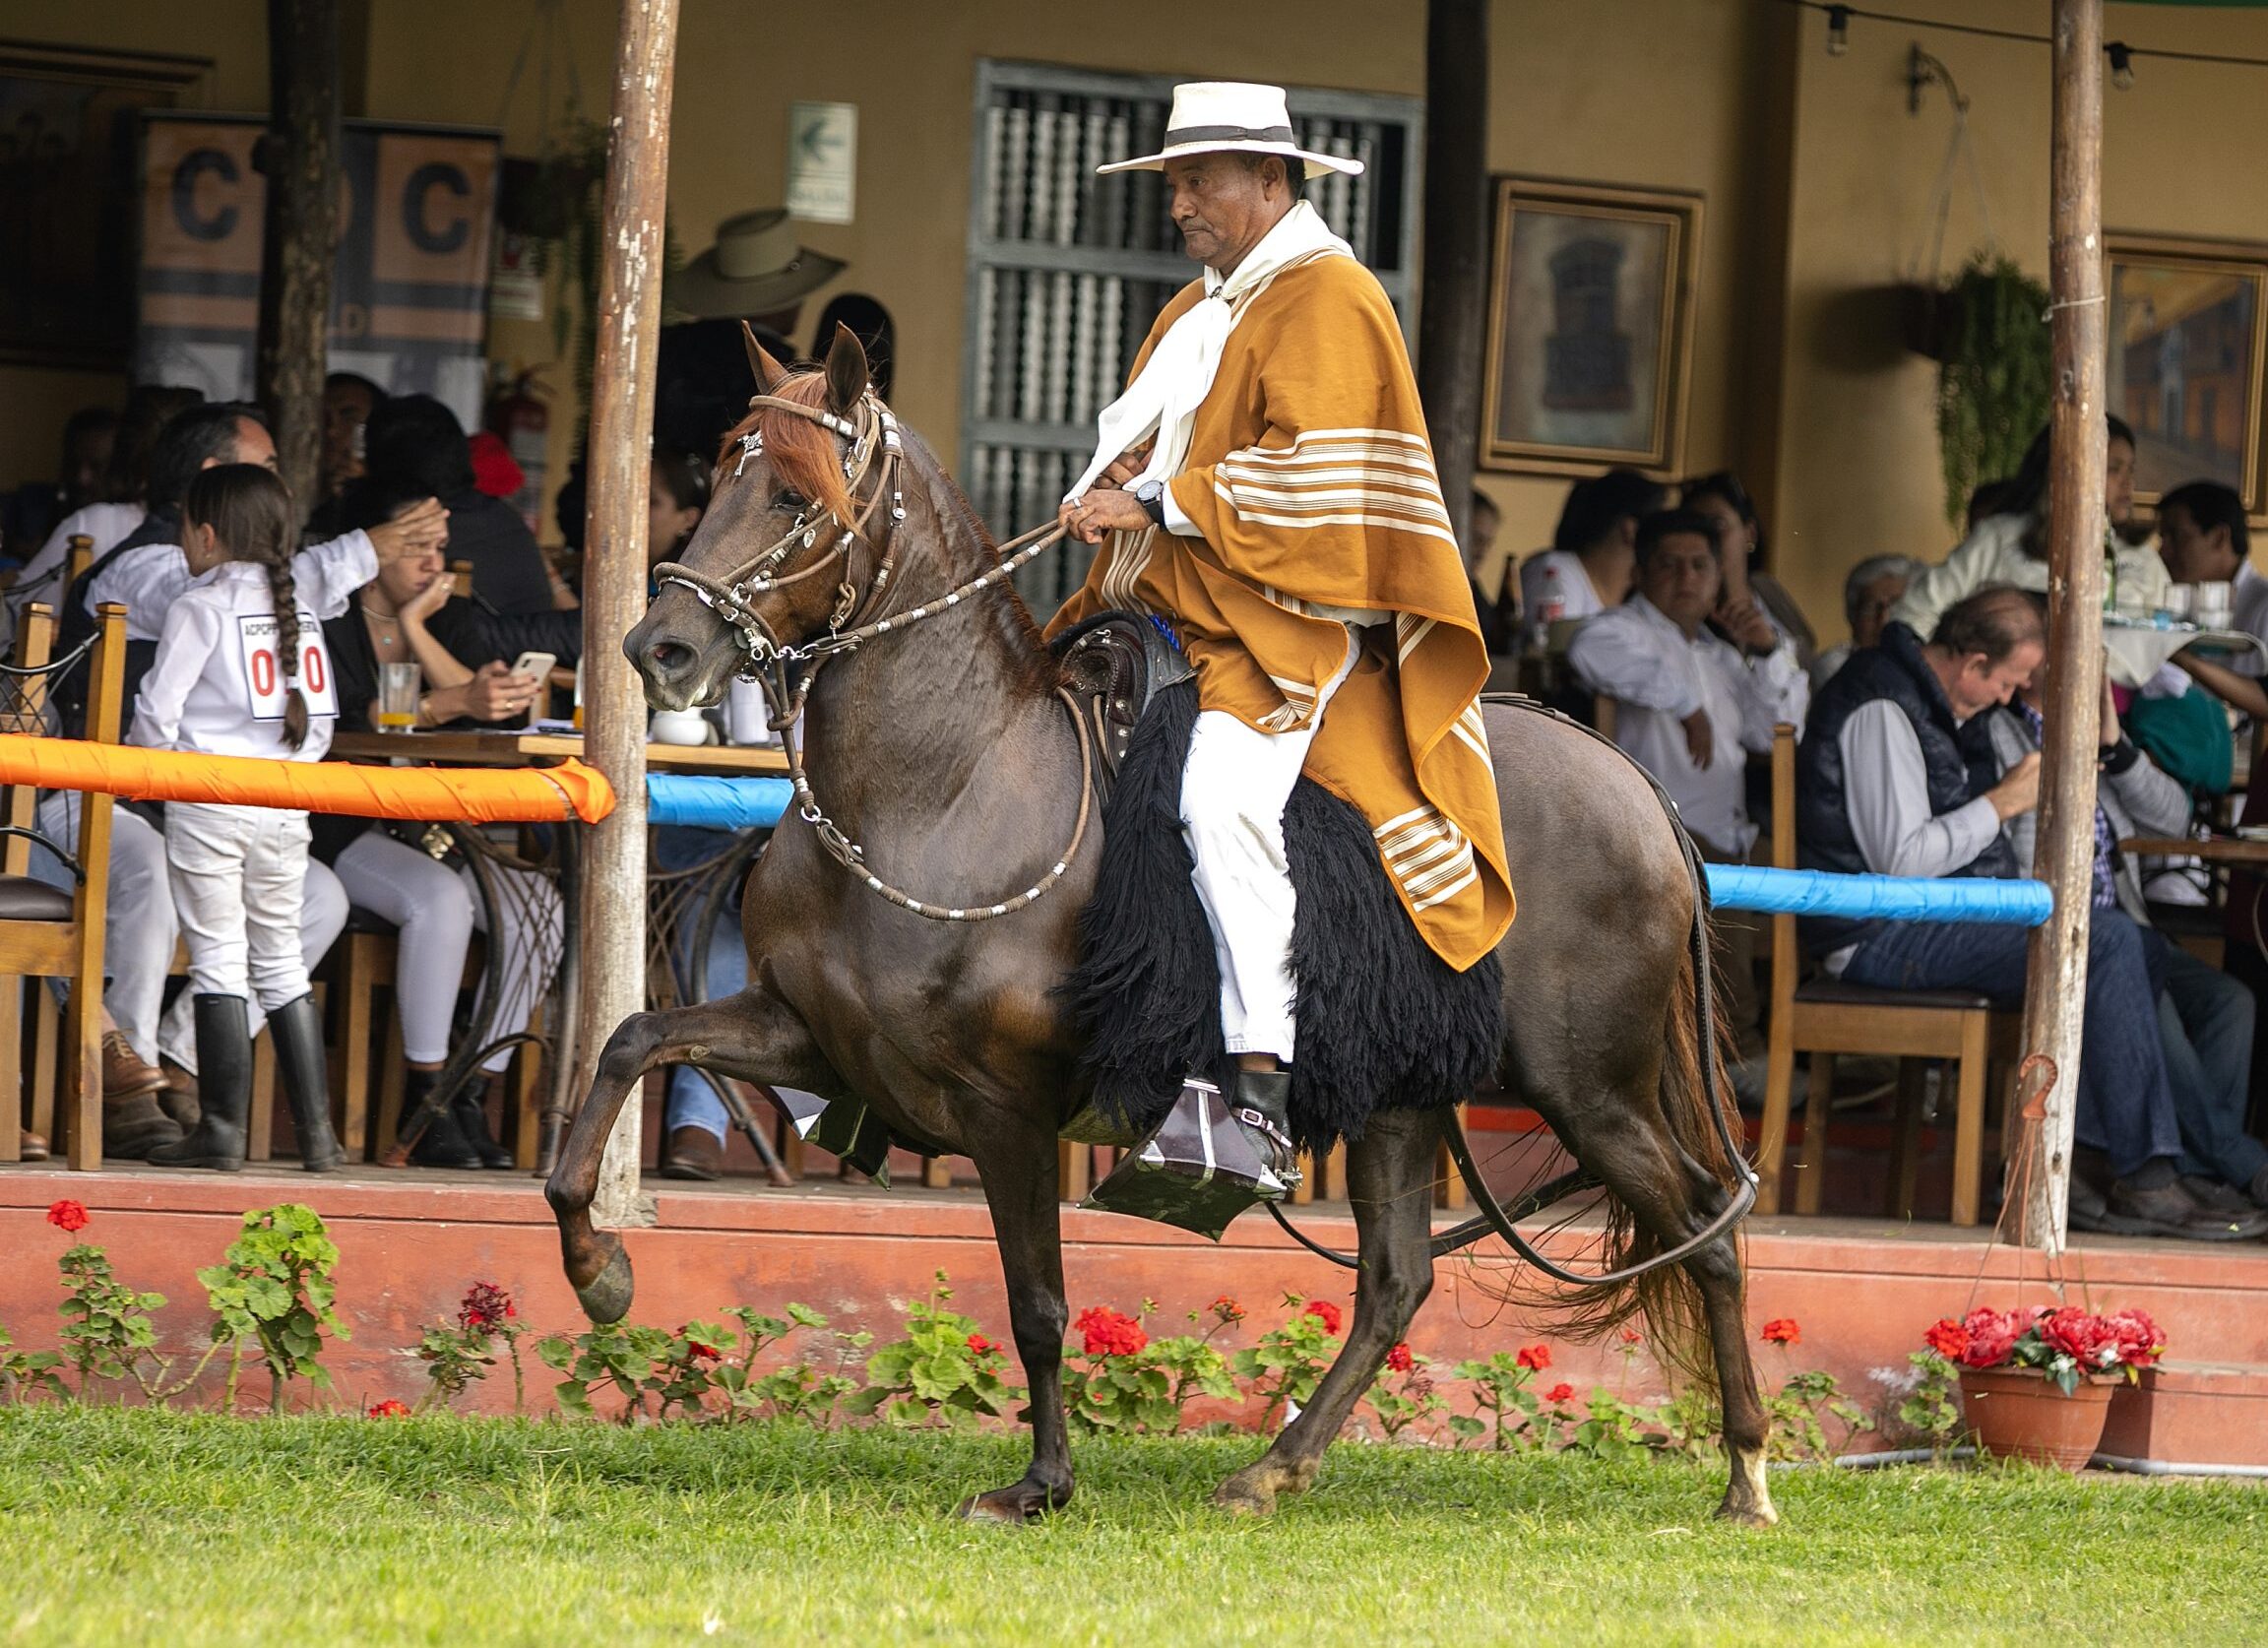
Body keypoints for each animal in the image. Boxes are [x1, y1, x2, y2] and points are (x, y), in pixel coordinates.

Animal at [543, 328, 1769, 1523]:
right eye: (719, 475)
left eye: (798, 497)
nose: (659, 649)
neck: (943, 788)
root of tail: (1633, 782)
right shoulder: (815, 1037)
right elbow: (629, 1045)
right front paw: (601, 1273)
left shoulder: (1005, 1106)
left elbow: (1038, 1300)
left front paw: (1041, 1483)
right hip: (1404, 1095)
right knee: (1397, 1280)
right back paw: (1275, 1469)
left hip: (1585, 1084)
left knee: (1706, 1217)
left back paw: (1746, 1476)